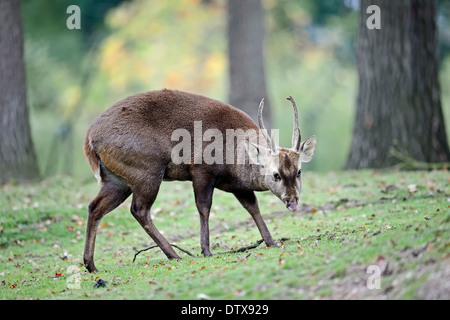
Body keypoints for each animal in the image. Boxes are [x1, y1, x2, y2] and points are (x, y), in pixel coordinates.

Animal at [83, 89, 316, 272]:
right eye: (275, 174)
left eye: (299, 171)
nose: (292, 200)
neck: (232, 159)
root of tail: (89, 139)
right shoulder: (201, 170)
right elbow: (204, 207)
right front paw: (206, 250)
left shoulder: (238, 186)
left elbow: (252, 207)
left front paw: (271, 241)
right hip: (146, 170)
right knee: (139, 209)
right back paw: (174, 254)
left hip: (117, 179)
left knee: (95, 206)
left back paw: (91, 265)